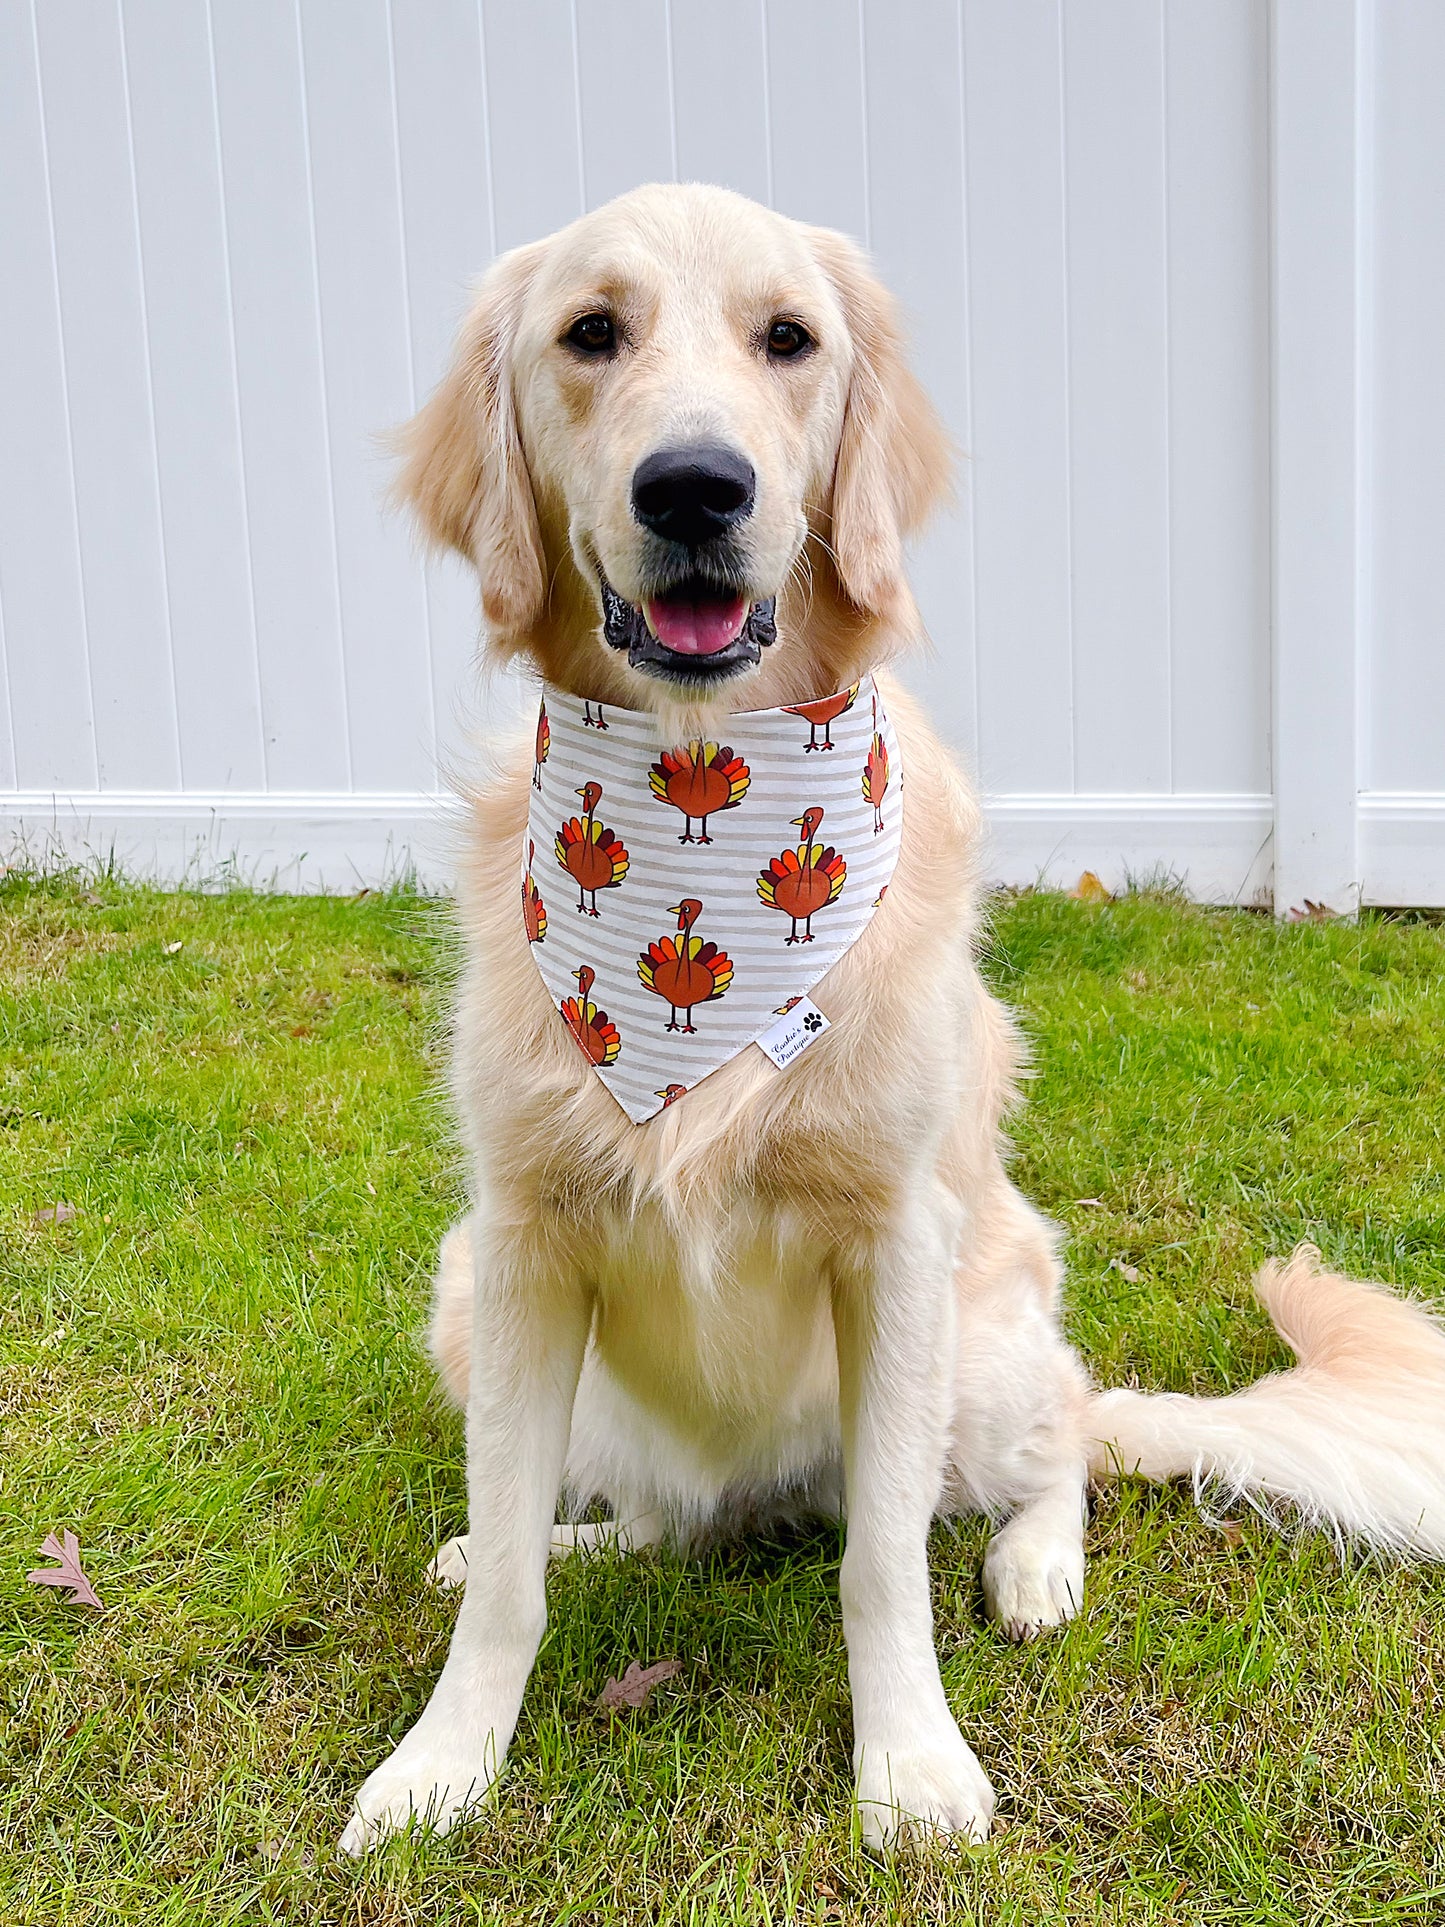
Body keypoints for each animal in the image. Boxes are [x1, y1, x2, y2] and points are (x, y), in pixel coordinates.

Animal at [337, 187, 1445, 1857]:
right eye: (590, 333)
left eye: (787, 339)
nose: (695, 486)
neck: (699, 790)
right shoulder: (524, 1239)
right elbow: (514, 1575)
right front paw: (442, 1760)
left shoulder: (896, 1243)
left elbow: (882, 1565)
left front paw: (913, 1762)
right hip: (469, 1293)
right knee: (644, 1518)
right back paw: (576, 1538)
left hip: (985, 1339)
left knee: (1057, 1439)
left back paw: (1036, 1561)